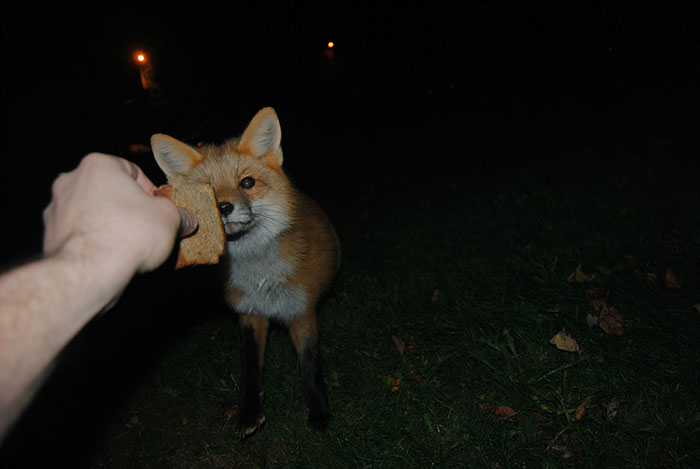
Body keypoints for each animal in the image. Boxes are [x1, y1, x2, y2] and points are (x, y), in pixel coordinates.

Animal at [151, 107, 340, 437]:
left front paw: (318, 411)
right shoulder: (249, 313)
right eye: (209, 191)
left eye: (247, 183)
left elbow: (310, 364)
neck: (261, 277)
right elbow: (250, 367)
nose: (224, 208)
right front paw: (249, 413)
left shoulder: (301, 312)